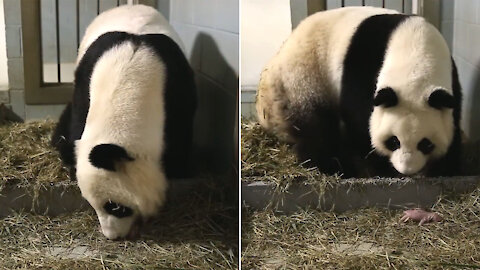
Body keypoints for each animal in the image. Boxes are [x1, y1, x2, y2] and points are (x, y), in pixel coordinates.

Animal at [51, 4, 196, 238]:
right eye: (93, 206)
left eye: (115, 207)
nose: (112, 236)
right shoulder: (84, 86)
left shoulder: (177, 87)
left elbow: (180, 140)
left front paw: (178, 172)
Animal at [256, 6, 464, 177]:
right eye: (393, 141)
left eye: (426, 144)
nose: (407, 170)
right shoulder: (362, 68)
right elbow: (361, 120)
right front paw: (379, 166)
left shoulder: (451, 81)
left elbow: (453, 121)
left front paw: (446, 166)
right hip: (304, 80)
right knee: (315, 127)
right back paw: (331, 165)